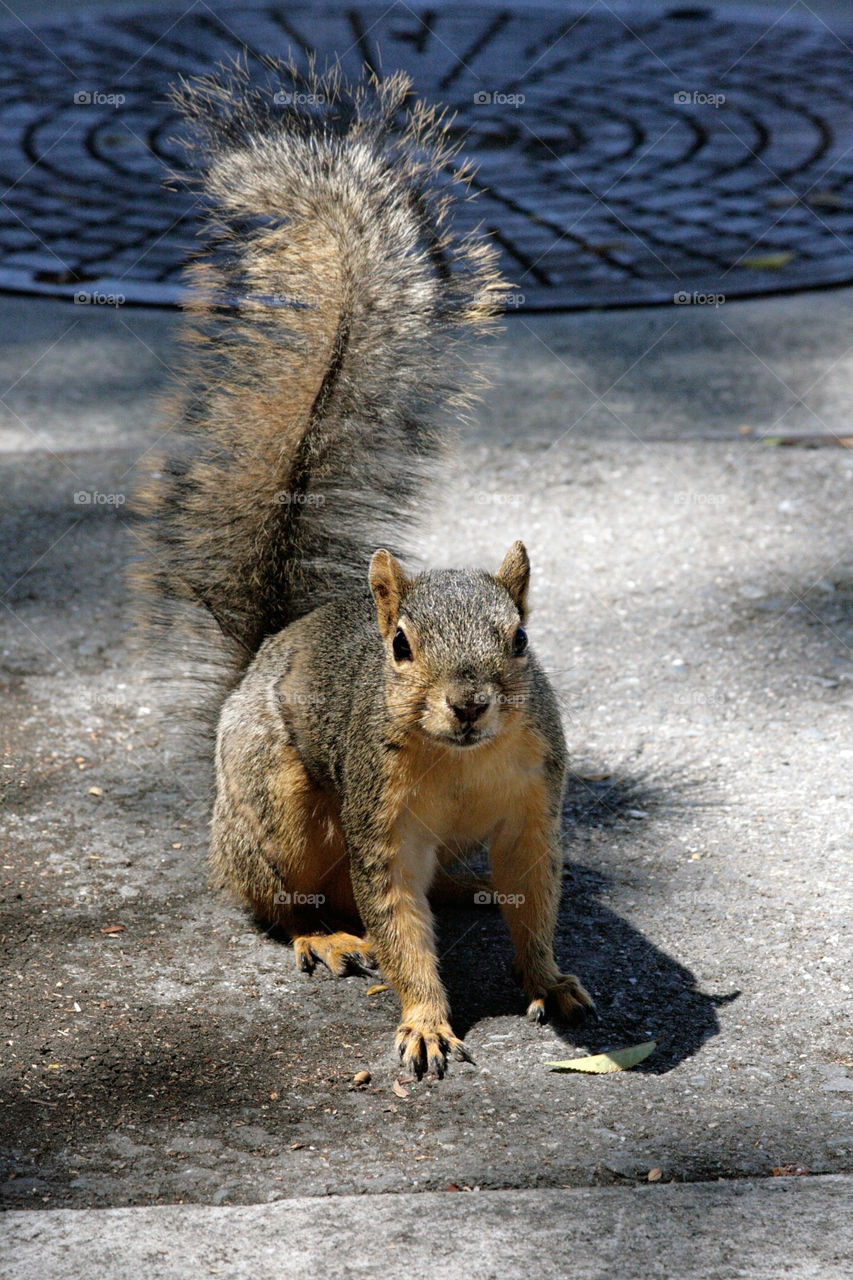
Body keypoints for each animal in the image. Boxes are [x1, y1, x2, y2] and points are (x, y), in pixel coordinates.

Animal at [136, 62, 594, 1080]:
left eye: (521, 639)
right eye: (400, 647)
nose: (467, 703)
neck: (463, 763)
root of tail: (263, 655)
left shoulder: (532, 809)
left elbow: (535, 896)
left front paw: (548, 978)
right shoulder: (380, 821)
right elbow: (396, 919)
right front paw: (423, 1019)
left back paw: (462, 892)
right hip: (282, 806)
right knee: (283, 898)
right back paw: (322, 938)